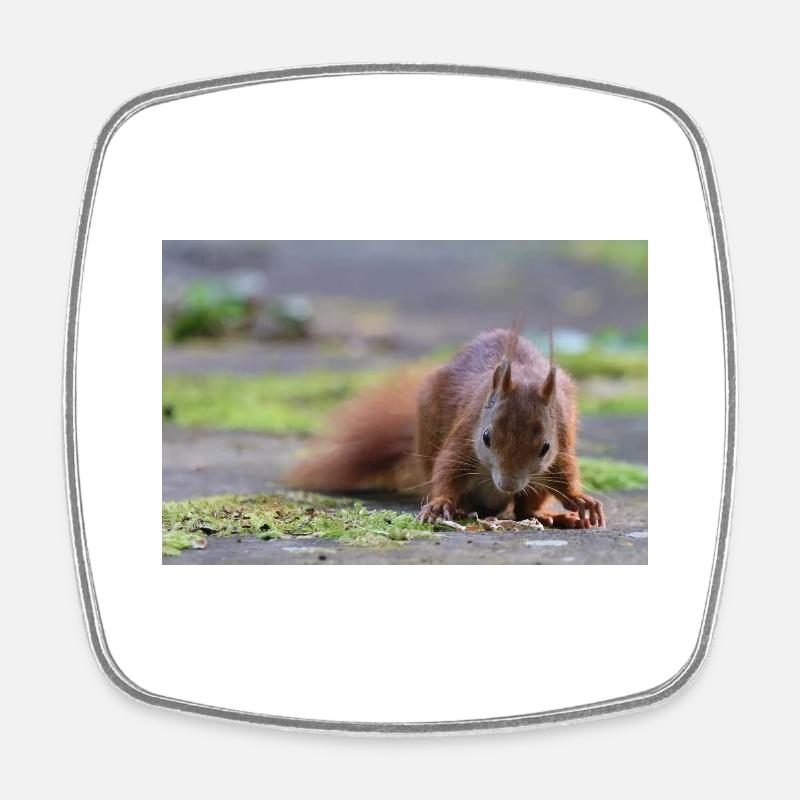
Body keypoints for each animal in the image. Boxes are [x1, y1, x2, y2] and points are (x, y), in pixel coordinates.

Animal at [287, 327, 604, 528]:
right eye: (486, 437)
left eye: (545, 448)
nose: (509, 484)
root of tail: (493, 501)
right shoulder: (465, 434)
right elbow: (447, 469)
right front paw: (440, 504)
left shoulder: (561, 438)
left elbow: (564, 472)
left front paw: (579, 500)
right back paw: (463, 509)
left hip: (535, 484)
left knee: (526, 508)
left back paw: (551, 516)